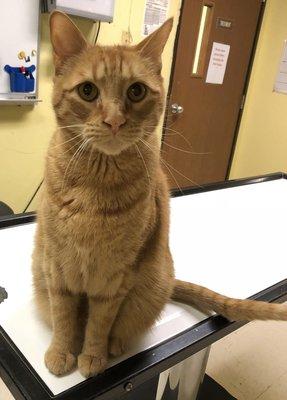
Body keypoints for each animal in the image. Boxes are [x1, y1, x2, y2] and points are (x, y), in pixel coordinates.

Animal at [32, 11, 287, 378]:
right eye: (87, 91)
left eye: (136, 91)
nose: (114, 121)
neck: (94, 189)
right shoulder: (57, 267)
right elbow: (65, 319)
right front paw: (61, 352)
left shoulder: (116, 278)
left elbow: (98, 324)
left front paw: (92, 357)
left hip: (148, 286)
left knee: (120, 327)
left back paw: (114, 346)